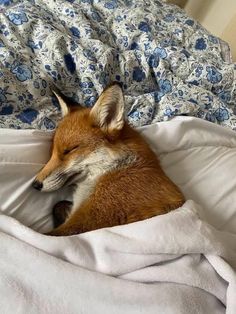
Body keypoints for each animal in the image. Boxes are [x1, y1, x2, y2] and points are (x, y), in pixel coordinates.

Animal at [32, 83, 184, 236]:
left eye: (69, 150)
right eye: (52, 152)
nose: (35, 184)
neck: (114, 169)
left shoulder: (87, 221)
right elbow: (58, 205)